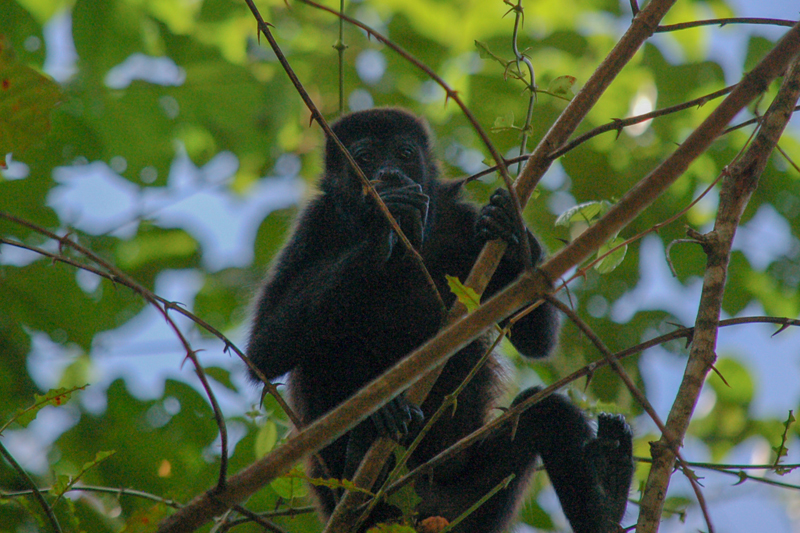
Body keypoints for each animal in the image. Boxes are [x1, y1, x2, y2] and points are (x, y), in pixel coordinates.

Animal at [247, 108, 636, 532]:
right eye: (365, 157)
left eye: (403, 153)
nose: (389, 174)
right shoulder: (314, 224)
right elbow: (263, 351)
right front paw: (383, 228)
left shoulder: (461, 222)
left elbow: (535, 340)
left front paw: (509, 228)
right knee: (319, 352)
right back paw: (367, 445)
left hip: (473, 503)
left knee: (547, 414)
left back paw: (608, 494)